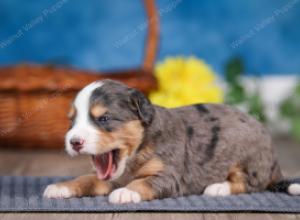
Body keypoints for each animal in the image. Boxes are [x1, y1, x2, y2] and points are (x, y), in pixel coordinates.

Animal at [44, 80, 300, 204]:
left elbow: (143, 183)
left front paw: (125, 193)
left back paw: (217, 187)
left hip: (247, 155)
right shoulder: (109, 176)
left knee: (249, 183)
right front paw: (60, 186)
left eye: (104, 119)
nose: (74, 142)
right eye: (71, 121)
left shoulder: (169, 175)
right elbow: (85, 179)